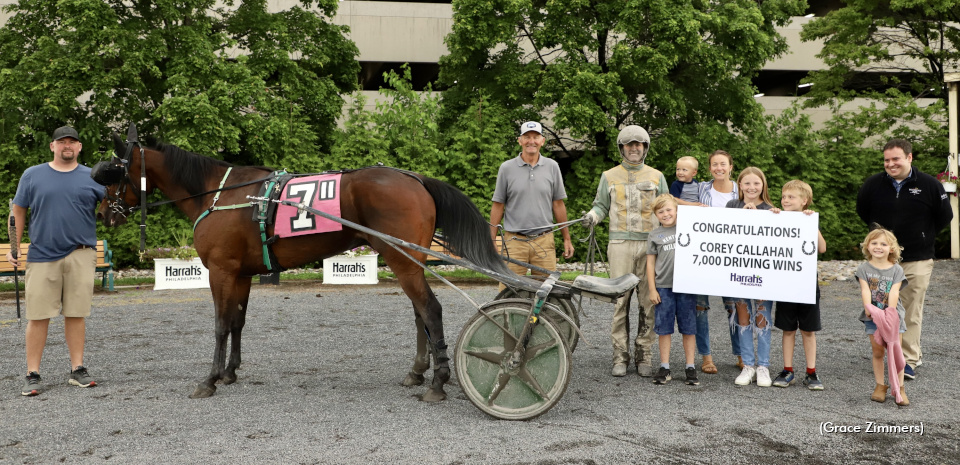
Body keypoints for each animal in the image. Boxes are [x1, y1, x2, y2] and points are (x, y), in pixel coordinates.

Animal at [97, 131, 512, 402]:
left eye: (113, 172)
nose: (103, 212)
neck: (220, 195)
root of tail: (415, 178)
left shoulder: (221, 271)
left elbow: (219, 325)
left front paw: (210, 378)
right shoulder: (242, 273)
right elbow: (237, 322)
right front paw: (230, 372)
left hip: (402, 260)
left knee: (431, 309)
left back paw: (438, 382)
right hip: (408, 261)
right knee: (419, 313)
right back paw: (418, 372)